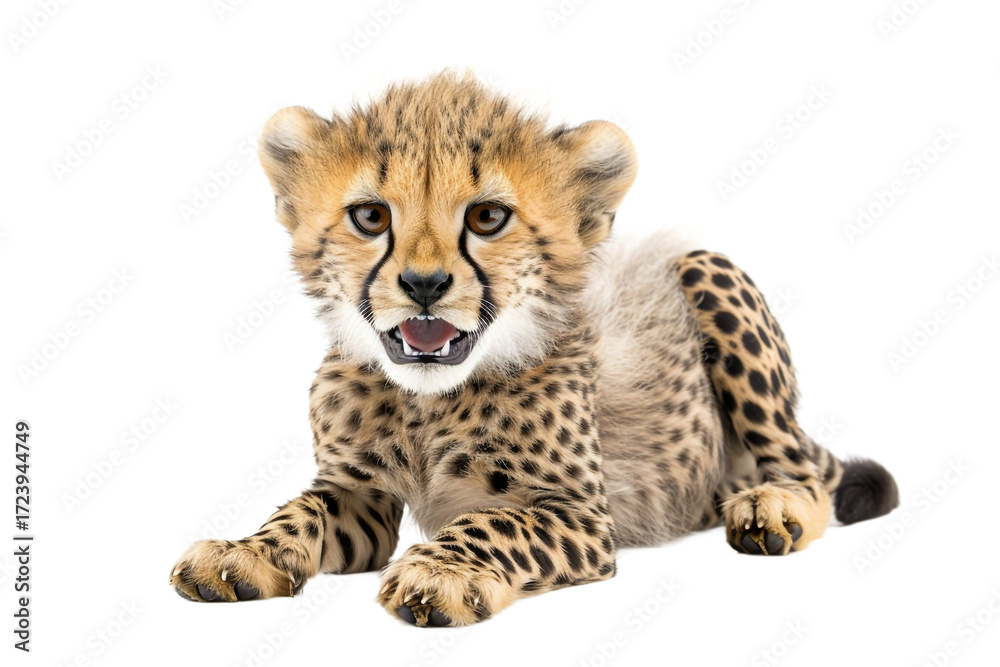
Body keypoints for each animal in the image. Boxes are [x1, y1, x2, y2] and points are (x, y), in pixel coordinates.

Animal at [169, 72, 899, 626]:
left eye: (488, 217)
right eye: (371, 217)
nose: (424, 285)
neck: (428, 401)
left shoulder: (580, 512)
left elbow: (492, 523)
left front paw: (438, 573)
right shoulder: (360, 495)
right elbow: (303, 508)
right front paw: (243, 551)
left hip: (705, 269)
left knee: (803, 468)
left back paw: (772, 509)